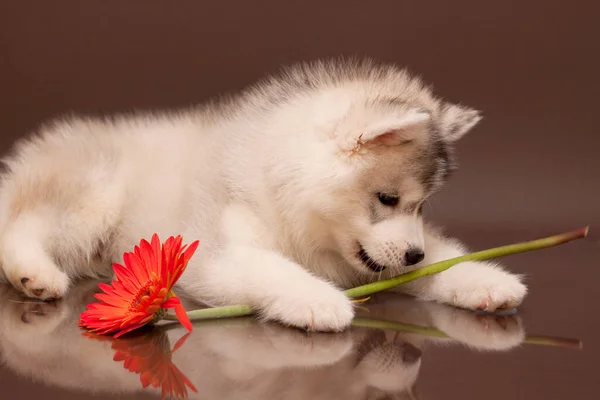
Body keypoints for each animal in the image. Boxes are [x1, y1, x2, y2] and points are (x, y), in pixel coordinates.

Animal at [0, 57, 524, 332]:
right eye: (387, 198)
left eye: (420, 205)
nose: (414, 256)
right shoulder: (216, 251)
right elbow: (274, 271)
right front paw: (317, 300)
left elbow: (445, 258)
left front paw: (484, 281)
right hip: (92, 197)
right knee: (22, 227)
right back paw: (35, 275)